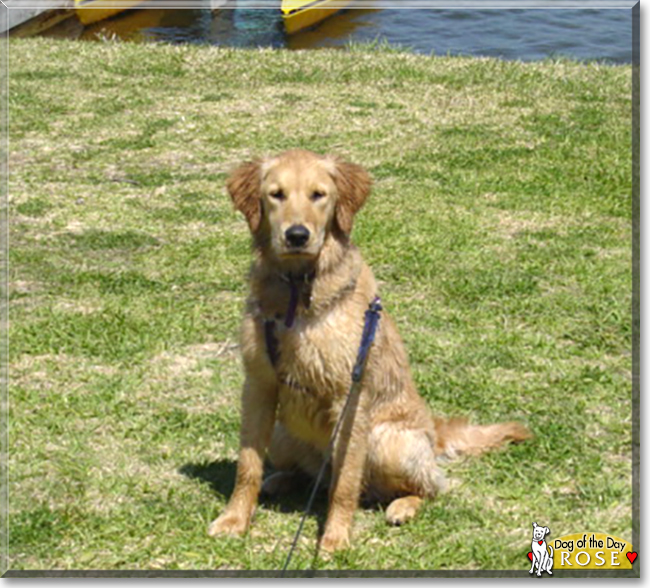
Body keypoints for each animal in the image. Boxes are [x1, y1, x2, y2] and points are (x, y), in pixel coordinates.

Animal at [210, 149, 528, 552]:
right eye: (276, 194)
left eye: (318, 195)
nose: (297, 235)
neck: (299, 292)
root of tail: (434, 431)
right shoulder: (258, 386)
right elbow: (248, 466)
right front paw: (234, 519)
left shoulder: (350, 397)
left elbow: (345, 483)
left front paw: (335, 537)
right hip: (283, 434)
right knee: (312, 477)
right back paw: (281, 480)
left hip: (387, 440)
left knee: (428, 487)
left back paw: (403, 506)